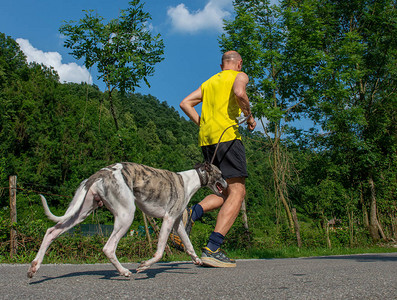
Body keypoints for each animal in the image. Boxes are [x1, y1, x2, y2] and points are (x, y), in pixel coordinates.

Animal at [27, 163, 226, 278]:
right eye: (222, 174)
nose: (227, 186)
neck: (190, 180)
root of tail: (102, 172)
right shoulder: (168, 219)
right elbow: (160, 252)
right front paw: (144, 266)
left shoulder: (176, 222)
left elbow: (188, 244)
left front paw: (197, 260)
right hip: (126, 215)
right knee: (108, 248)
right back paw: (123, 271)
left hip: (81, 212)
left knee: (51, 231)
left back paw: (34, 267)